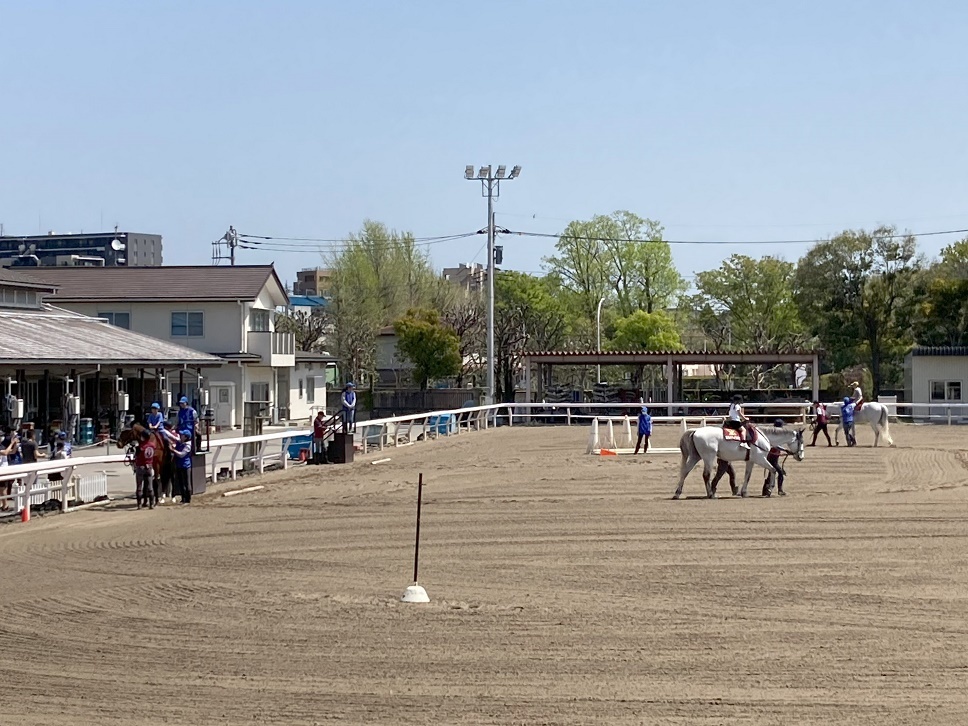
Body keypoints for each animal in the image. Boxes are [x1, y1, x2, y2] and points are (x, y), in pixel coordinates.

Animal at [672, 426, 800, 500]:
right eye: (800, 441)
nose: (800, 457)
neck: (762, 438)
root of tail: (695, 431)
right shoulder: (760, 459)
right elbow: (773, 469)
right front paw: (769, 490)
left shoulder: (751, 461)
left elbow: (747, 476)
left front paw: (744, 492)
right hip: (708, 457)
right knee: (706, 475)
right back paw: (711, 494)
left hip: (695, 456)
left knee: (685, 472)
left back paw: (677, 494)